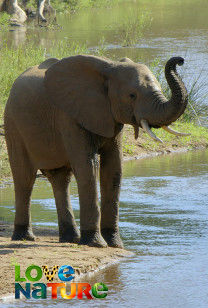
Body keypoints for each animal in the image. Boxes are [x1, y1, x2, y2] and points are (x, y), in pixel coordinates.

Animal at [3, 54, 189, 248]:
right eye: (132, 95)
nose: (180, 60)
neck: (109, 67)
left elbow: (114, 169)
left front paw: (115, 244)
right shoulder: (69, 116)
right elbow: (87, 167)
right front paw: (96, 243)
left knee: (60, 179)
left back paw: (70, 239)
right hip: (13, 125)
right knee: (25, 178)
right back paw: (24, 237)